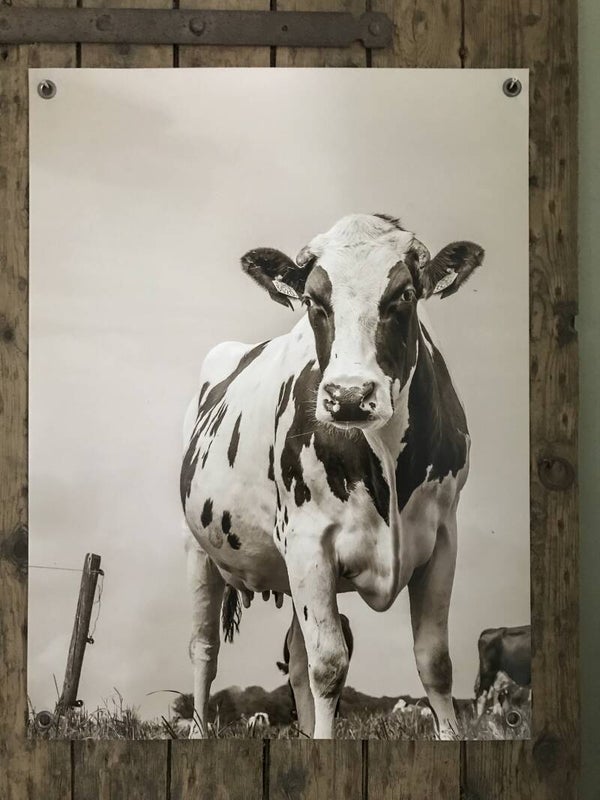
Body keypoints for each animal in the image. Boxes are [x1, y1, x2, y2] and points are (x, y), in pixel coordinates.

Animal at [180, 212, 484, 739]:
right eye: (313, 301)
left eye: (404, 293)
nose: (348, 396)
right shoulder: (308, 541)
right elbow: (329, 665)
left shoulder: (443, 535)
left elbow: (435, 662)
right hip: (199, 549)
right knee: (205, 651)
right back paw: (199, 730)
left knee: (296, 658)